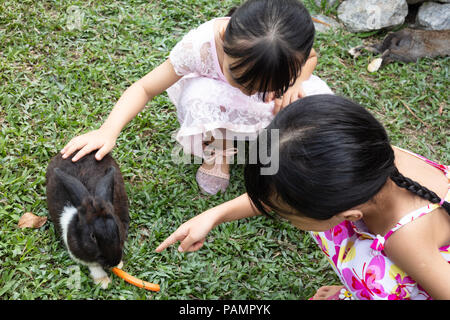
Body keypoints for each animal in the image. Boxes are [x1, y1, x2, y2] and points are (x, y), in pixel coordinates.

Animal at [45, 151, 129, 288]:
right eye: (92, 236)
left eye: (117, 229)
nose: (113, 262)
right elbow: (93, 266)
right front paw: (103, 282)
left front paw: (119, 265)